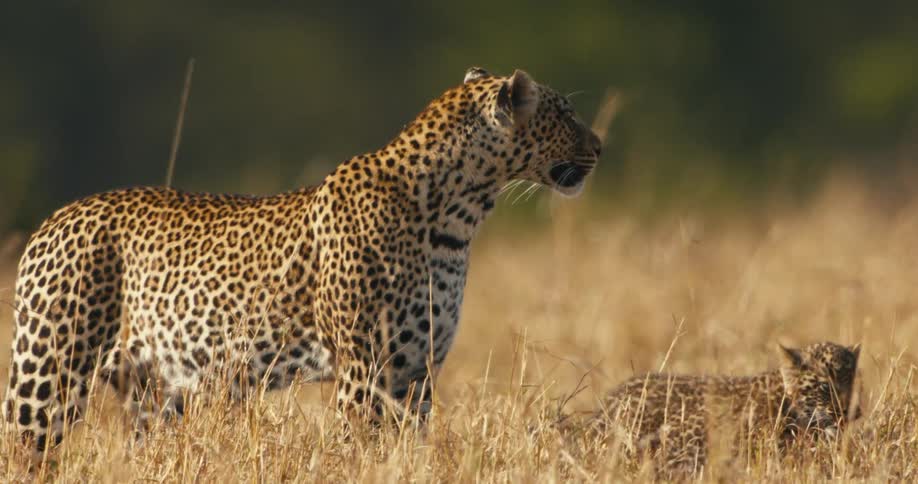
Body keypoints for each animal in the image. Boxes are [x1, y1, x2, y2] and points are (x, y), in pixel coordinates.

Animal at [1, 66, 603, 455]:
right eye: (567, 115)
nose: (599, 147)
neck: (457, 215)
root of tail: (52, 220)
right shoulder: (365, 369)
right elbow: (358, 449)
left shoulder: (416, 372)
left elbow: (408, 451)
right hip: (47, 371)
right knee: (22, 448)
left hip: (150, 392)